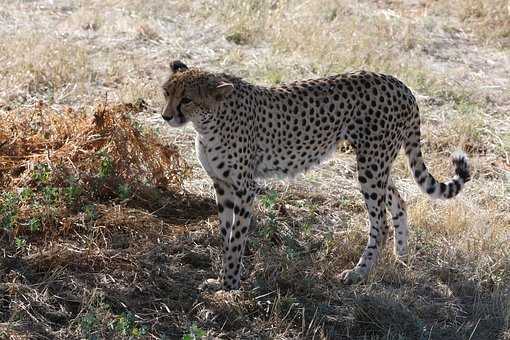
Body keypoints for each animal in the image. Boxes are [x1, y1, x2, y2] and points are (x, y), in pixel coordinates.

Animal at [161, 60, 472, 290]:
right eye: (166, 92)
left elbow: (237, 238)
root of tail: (401, 84)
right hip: (377, 163)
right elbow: (225, 235)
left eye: (187, 99)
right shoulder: (222, 185)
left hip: (371, 165)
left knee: (380, 222)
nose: (165, 116)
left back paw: (359, 273)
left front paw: (230, 285)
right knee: (399, 201)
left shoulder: (244, 188)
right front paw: (222, 278)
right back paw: (402, 258)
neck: (209, 121)